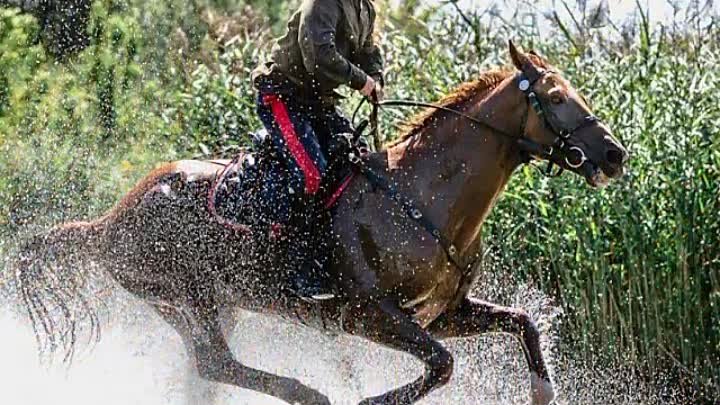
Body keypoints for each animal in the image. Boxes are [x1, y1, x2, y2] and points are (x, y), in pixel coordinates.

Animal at [14, 42, 628, 402]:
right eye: (556, 97)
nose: (615, 154)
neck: (423, 198)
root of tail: (107, 223)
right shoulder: (370, 316)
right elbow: (443, 365)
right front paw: (369, 400)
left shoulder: (443, 313)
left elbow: (521, 325)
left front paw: (542, 392)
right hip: (184, 295)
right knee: (217, 363)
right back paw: (311, 394)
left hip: (211, 302)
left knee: (209, 371)